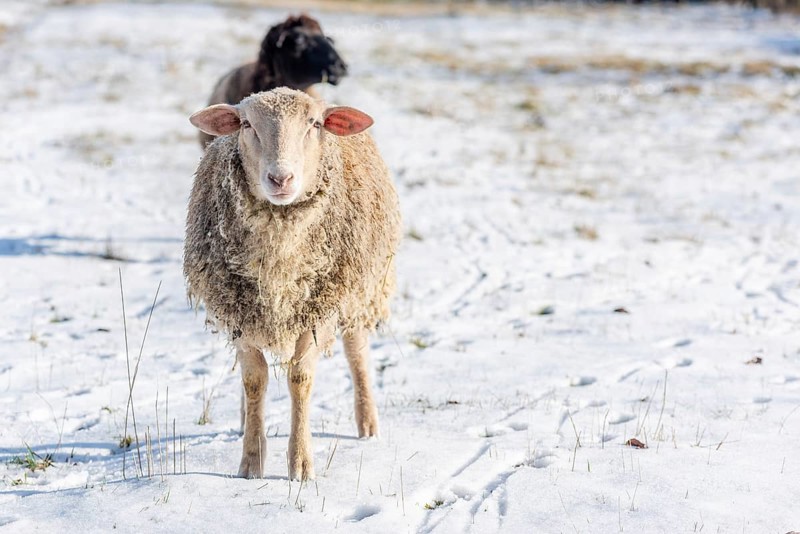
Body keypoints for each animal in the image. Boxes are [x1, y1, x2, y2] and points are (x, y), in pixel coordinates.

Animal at [185, 87, 401, 481]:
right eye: (246, 124)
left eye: (314, 124)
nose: (280, 179)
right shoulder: (239, 311)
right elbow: (254, 380)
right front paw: (251, 461)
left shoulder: (319, 310)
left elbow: (300, 379)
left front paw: (300, 464)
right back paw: (244, 420)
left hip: (360, 293)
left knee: (357, 352)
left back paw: (367, 424)